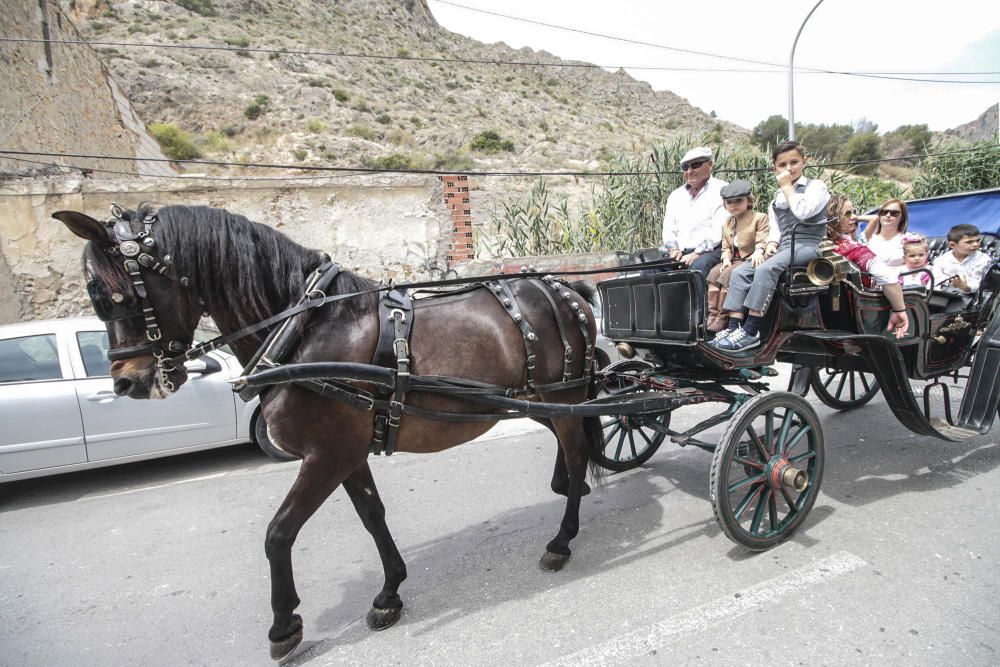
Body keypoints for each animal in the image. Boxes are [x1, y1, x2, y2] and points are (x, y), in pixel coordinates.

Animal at [56, 205, 600, 664]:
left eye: (109, 294)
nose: (127, 382)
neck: (303, 332)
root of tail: (568, 290)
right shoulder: (346, 452)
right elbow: (372, 516)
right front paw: (389, 592)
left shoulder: (326, 456)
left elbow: (279, 532)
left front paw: (284, 626)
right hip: (538, 401)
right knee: (570, 445)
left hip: (565, 396)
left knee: (577, 455)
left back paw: (562, 538)